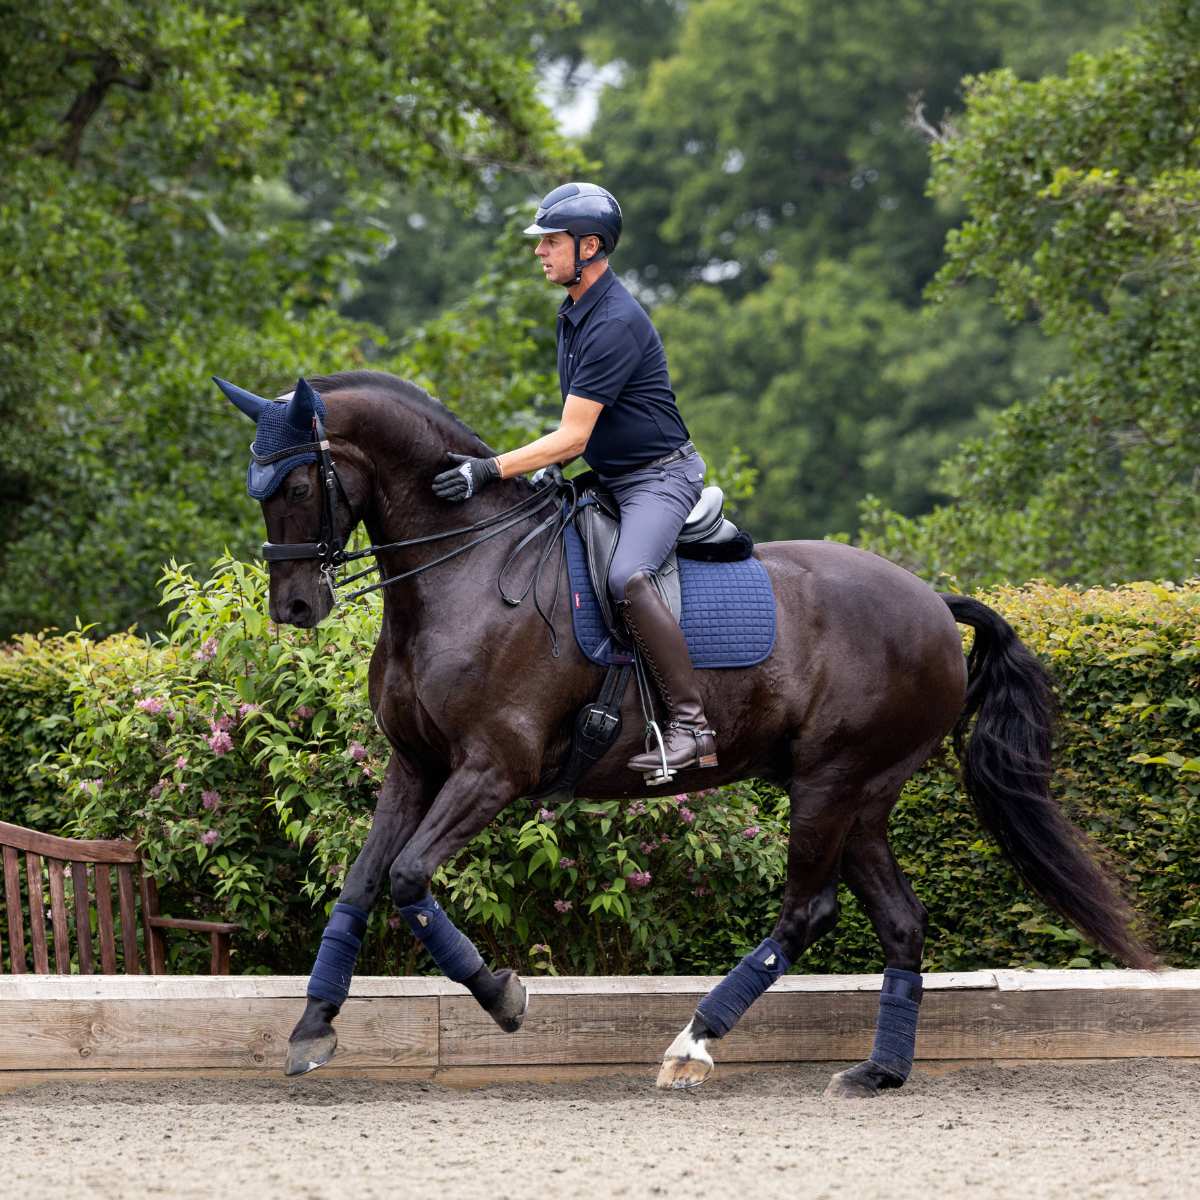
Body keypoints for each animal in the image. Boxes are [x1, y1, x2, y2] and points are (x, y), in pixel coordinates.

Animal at [218, 369, 1152, 1094]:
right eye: (259, 488)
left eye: (295, 486)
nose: (294, 607)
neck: (465, 574)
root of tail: (931, 601)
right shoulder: (414, 766)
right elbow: (363, 882)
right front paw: (312, 1028)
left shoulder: (494, 768)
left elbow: (410, 879)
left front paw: (503, 995)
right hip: (861, 795)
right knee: (900, 920)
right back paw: (879, 1070)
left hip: (832, 781)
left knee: (806, 912)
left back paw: (693, 1043)